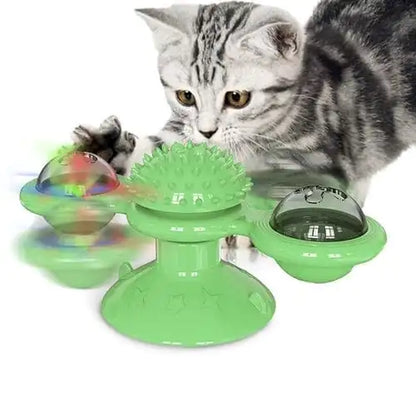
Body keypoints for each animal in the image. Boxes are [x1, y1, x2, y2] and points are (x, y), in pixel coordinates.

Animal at [74, 0, 416, 244]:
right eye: (185, 96)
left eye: (237, 98)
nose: (207, 131)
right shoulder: (184, 135)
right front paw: (108, 149)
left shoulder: (320, 164)